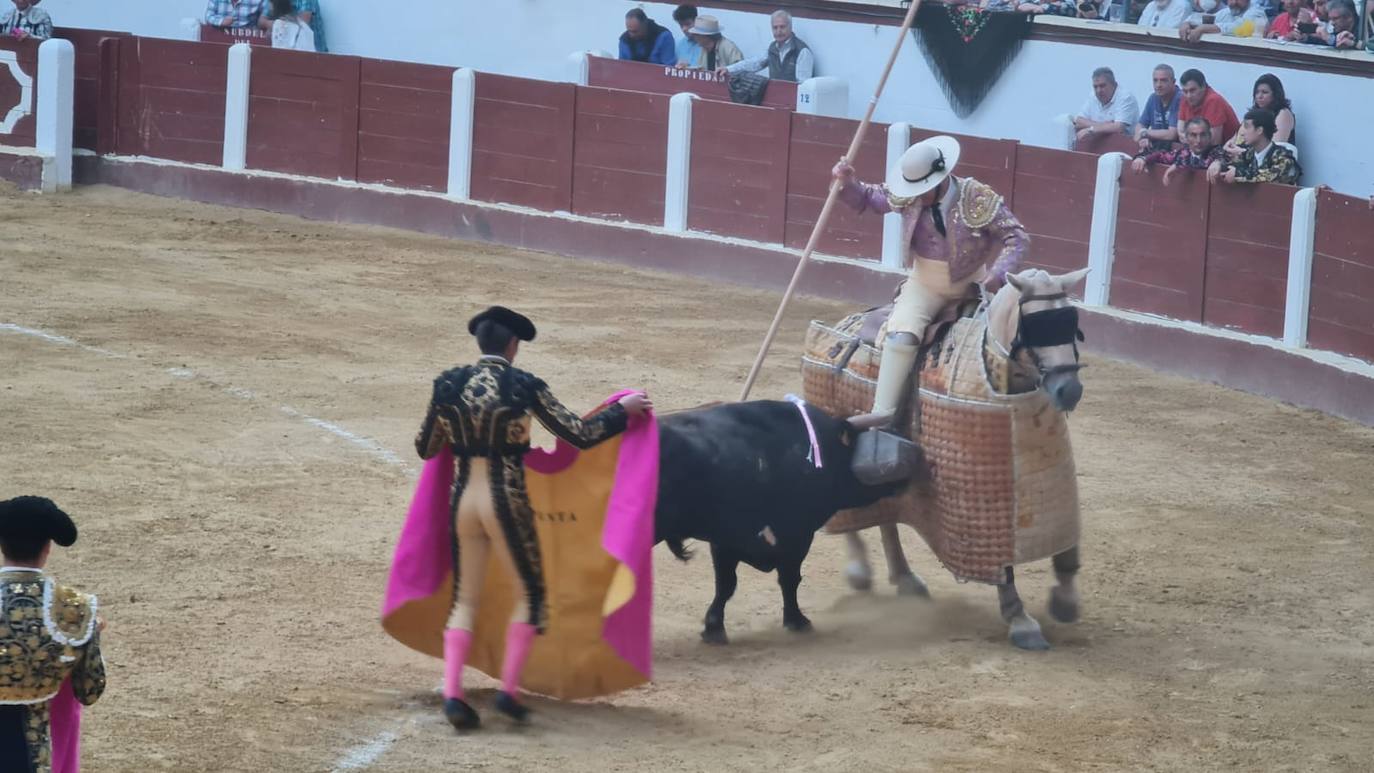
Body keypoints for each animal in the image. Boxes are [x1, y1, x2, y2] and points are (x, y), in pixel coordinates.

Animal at [651, 403, 895, 645]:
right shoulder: (797, 536)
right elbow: (788, 579)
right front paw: (797, 621)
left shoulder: (725, 542)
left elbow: (726, 585)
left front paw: (714, 628)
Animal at [802, 269, 1088, 650]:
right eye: (1035, 326)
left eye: (1072, 325)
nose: (1069, 390)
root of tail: (843, 323)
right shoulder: (979, 509)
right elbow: (1002, 567)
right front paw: (1021, 621)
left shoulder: (1054, 485)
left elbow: (1067, 547)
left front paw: (1066, 601)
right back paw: (860, 572)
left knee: (886, 519)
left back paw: (905, 578)